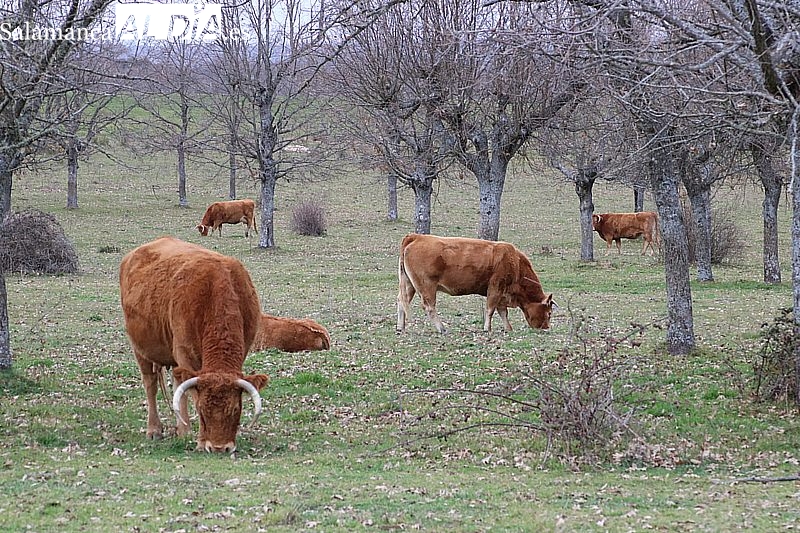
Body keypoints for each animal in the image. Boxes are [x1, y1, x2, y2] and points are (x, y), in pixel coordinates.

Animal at [119, 236, 269, 453]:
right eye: (201, 410)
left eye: (235, 409)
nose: (219, 448)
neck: (216, 288)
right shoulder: (185, 354)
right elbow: (189, 392)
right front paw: (198, 439)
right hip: (141, 349)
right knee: (150, 384)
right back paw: (155, 429)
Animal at [397, 233, 556, 334]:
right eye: (549, 313)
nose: (546, 327)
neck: (515, 262)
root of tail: (416, 237)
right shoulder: (495, 288)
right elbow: (490, 309)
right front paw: (487, 328)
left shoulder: (502, 294)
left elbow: (503, 312)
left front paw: (508, 328)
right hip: (427, 286)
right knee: (429, 306)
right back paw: (442, 328)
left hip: (409, 285)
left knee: (401, 301)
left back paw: (400, 327)